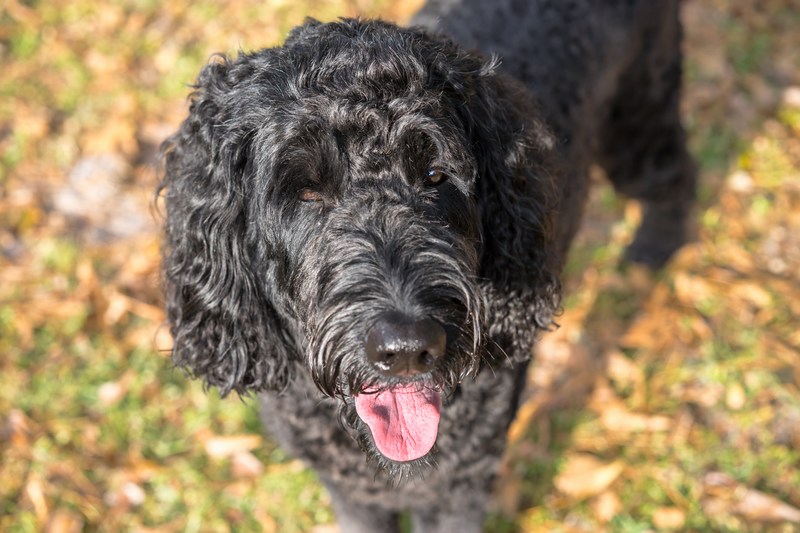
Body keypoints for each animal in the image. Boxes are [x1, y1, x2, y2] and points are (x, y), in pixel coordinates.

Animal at [158, 2, 692, 528]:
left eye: (435, 174)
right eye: (307, 191)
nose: (406, 348)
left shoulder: (459, 487)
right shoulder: (352, 493)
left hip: (637, 119)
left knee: (677, 174)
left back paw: (653, 250)